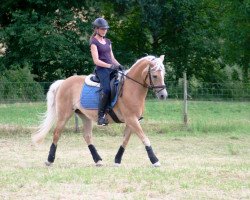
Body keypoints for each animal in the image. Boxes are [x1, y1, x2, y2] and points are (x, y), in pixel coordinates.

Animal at [31, 54, 168, 167]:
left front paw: (117, 160)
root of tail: (64, 82)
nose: (163, 95)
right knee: (56, 134)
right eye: (155, 76)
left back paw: (98, 160)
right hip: (64, 115)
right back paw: (49, 160)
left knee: (87, 136)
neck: (131, 88)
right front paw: (155, 160)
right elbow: (144, 138)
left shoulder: (133, 121)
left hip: (84, 116)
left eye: (164, 75)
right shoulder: (131, 119)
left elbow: (125, 140)